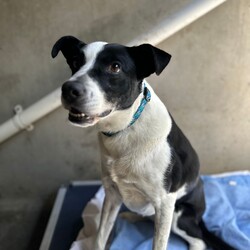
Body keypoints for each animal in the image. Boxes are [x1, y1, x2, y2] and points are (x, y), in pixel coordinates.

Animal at [51, 35, 234, 250]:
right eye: (75, 62)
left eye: (115, 67)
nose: (69, 89)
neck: (125, 129)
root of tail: (201, 216)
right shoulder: (112, 195)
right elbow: (100, 237)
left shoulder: (164, 203)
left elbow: (159, 243)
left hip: (178, 217)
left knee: (199, 240)